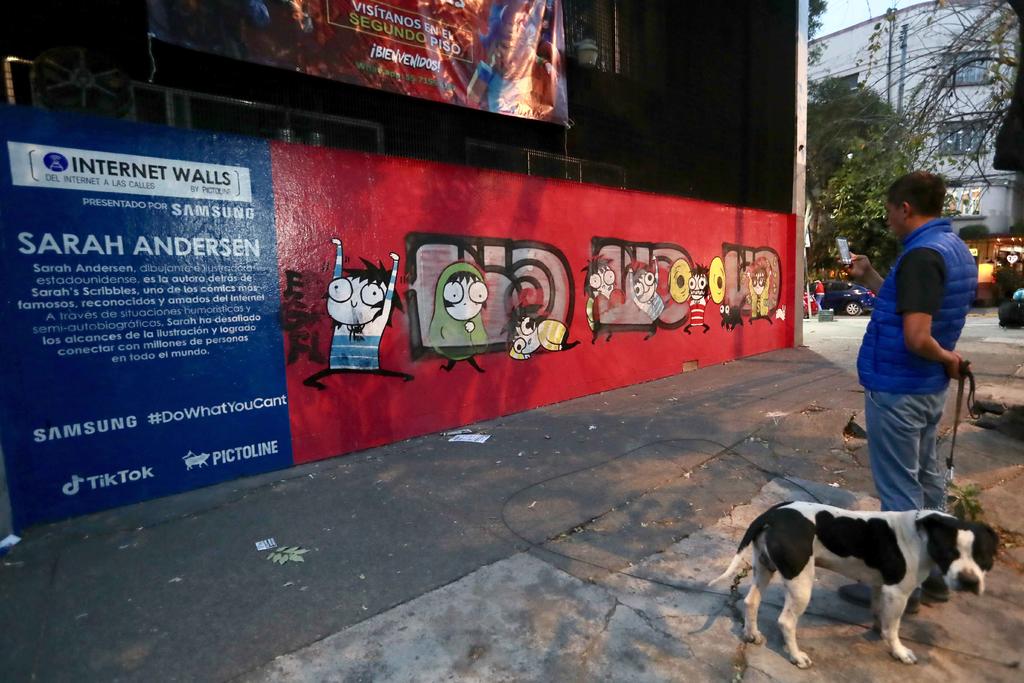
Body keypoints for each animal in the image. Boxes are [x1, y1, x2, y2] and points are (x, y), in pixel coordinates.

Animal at [711, 501, 998, 668]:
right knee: (786, 621)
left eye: (984, 556)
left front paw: (878, 630)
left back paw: (751, 634)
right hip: (801, 582)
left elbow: (880, 615)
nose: (969, 581)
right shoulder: (898, 592)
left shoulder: (881, 587)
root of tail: (771, 515)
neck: (922, 533)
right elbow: (894, 627)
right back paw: (796, 656)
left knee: (751, 601)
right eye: (950, 552)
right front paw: (898, 651)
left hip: (764, 567)